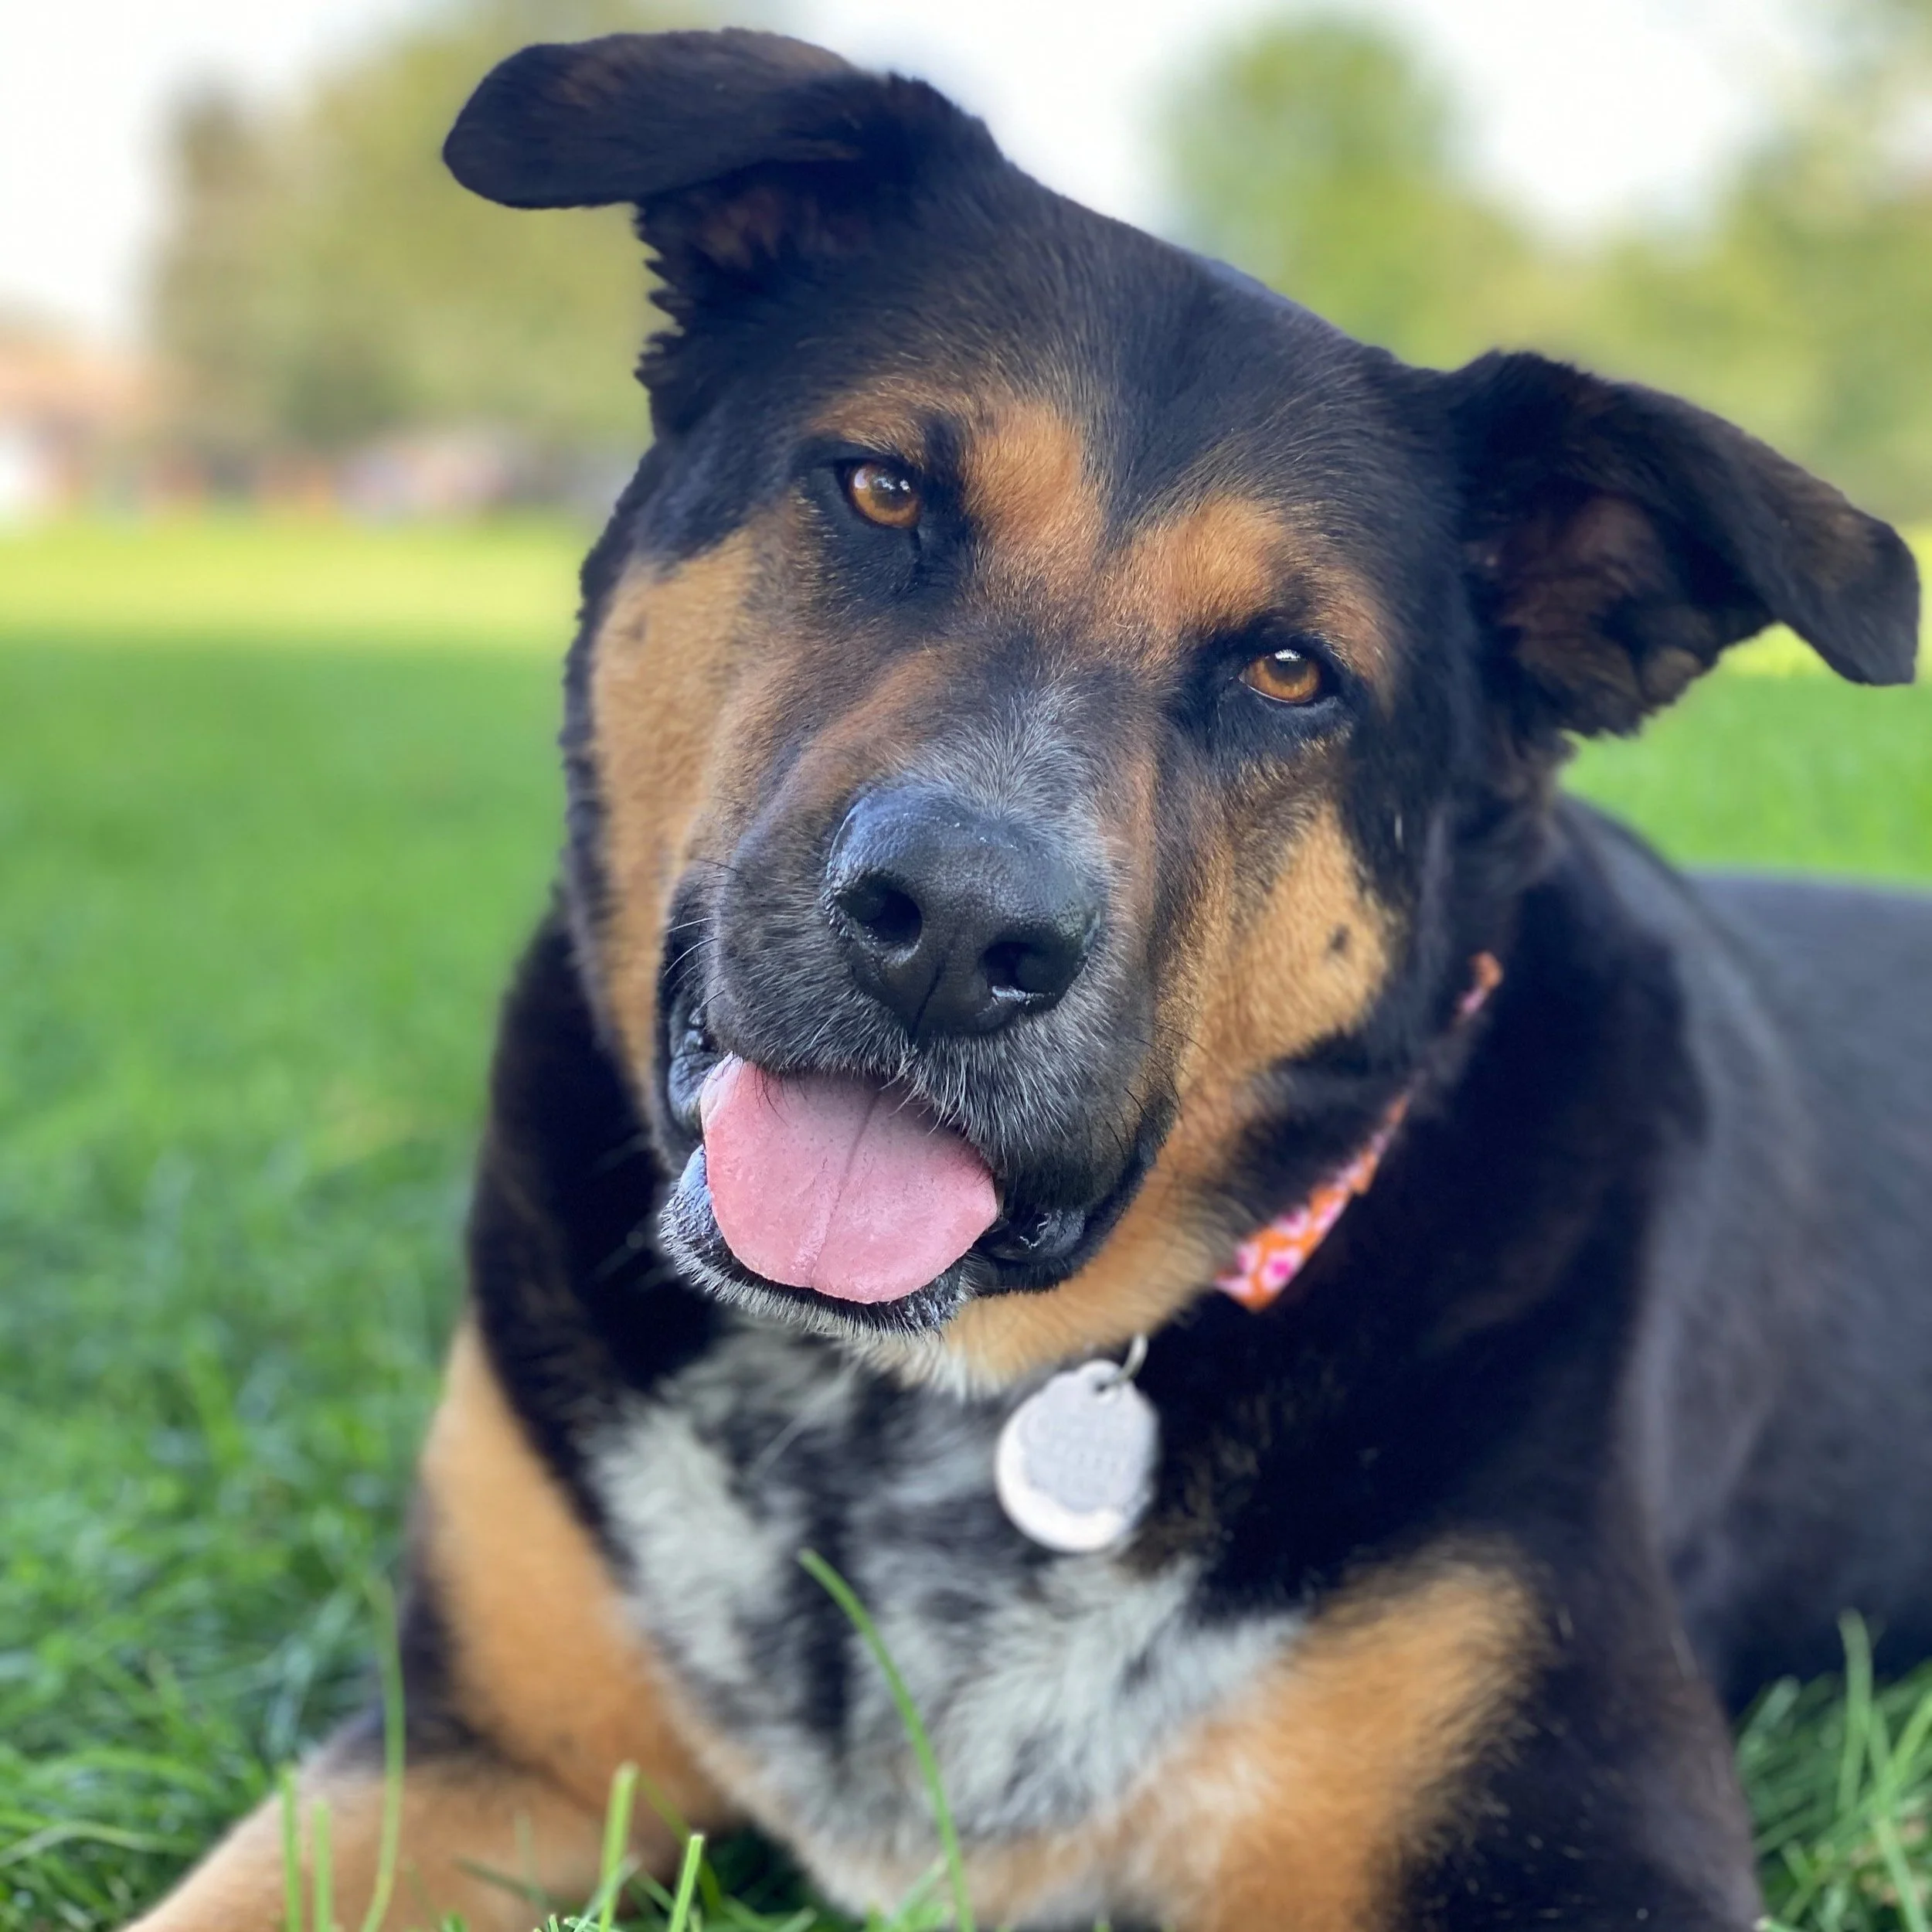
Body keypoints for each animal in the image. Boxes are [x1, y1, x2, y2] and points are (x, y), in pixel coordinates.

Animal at [132, 29, 1928, 1932]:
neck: (913, 1398)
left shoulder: (1585, 1847)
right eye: (881, 488)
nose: (950, 929)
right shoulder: (472, 1751)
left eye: (1290, 670)